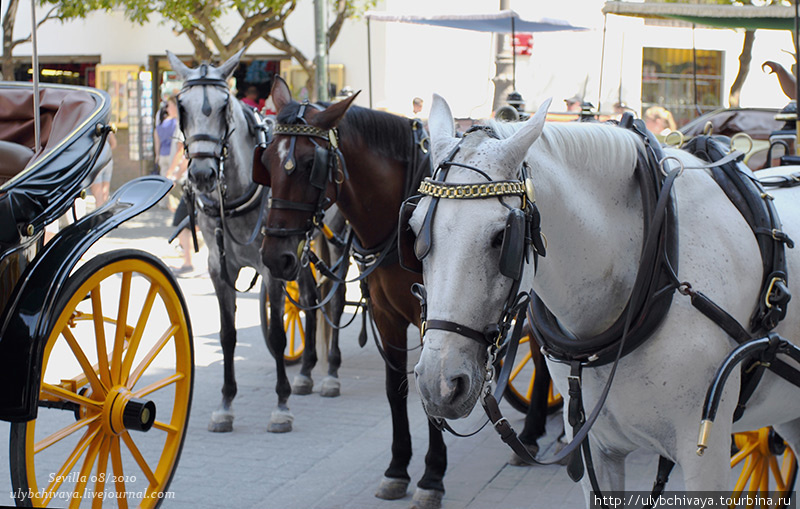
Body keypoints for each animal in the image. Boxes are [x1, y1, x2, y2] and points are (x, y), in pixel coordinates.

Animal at [167, 50, 342, 432]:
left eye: (223, 107)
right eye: (182, 106)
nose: (202, 174)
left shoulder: (271, 265)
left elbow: (277, 334)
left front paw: (281, 404)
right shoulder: (219, 268)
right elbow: (227, 335)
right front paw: (226, 404)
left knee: (335, 299)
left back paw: (331, 373)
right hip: (299, 251)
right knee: (310, 298)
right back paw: (306, 370)